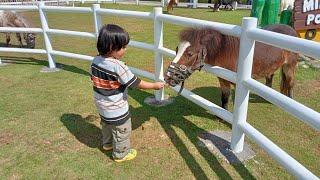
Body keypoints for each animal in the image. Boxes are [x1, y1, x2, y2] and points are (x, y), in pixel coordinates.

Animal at [164, 23, 298, 108]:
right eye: (177, 50)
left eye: (190, 54)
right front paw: (222, 115)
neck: (225, 50)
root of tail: (291, 29)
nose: (168, 77)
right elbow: (225, 97)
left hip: (289, 66)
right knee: (270, 77)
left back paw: (290, 100)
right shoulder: (223, 80)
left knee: (290, 83)